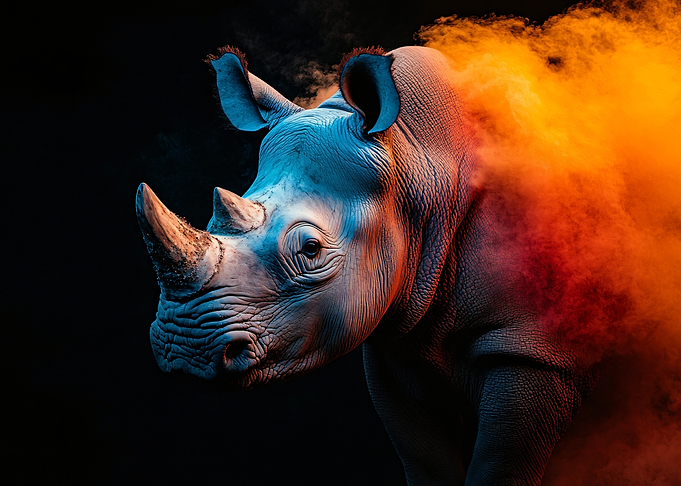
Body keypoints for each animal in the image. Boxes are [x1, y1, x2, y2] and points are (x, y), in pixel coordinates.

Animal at [136, 45, 593, 485]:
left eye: (310, 250)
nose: (183, 349)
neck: (416, 164)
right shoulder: (398, 341)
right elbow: (426, 461)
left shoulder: (531, 348)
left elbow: (499, 465)